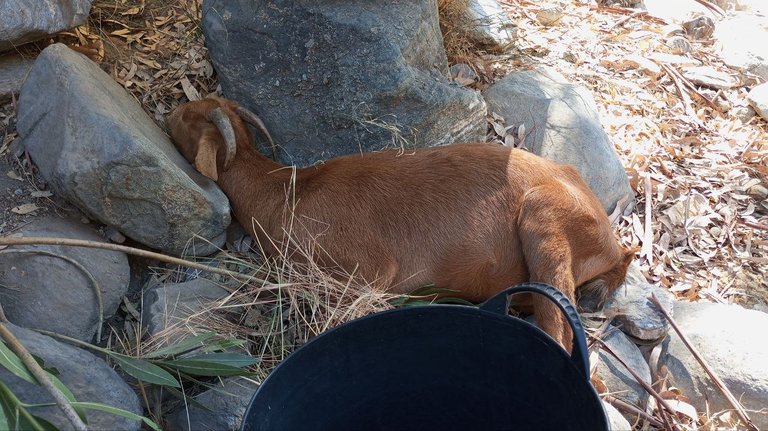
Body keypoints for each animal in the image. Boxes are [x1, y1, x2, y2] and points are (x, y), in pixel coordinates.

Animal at [168, 97, 636, 352]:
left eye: (190, 121)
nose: (173, 109)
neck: (284, 191)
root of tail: (614, 242)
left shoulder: (365, 270)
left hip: (544, 218)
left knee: (560, 323)